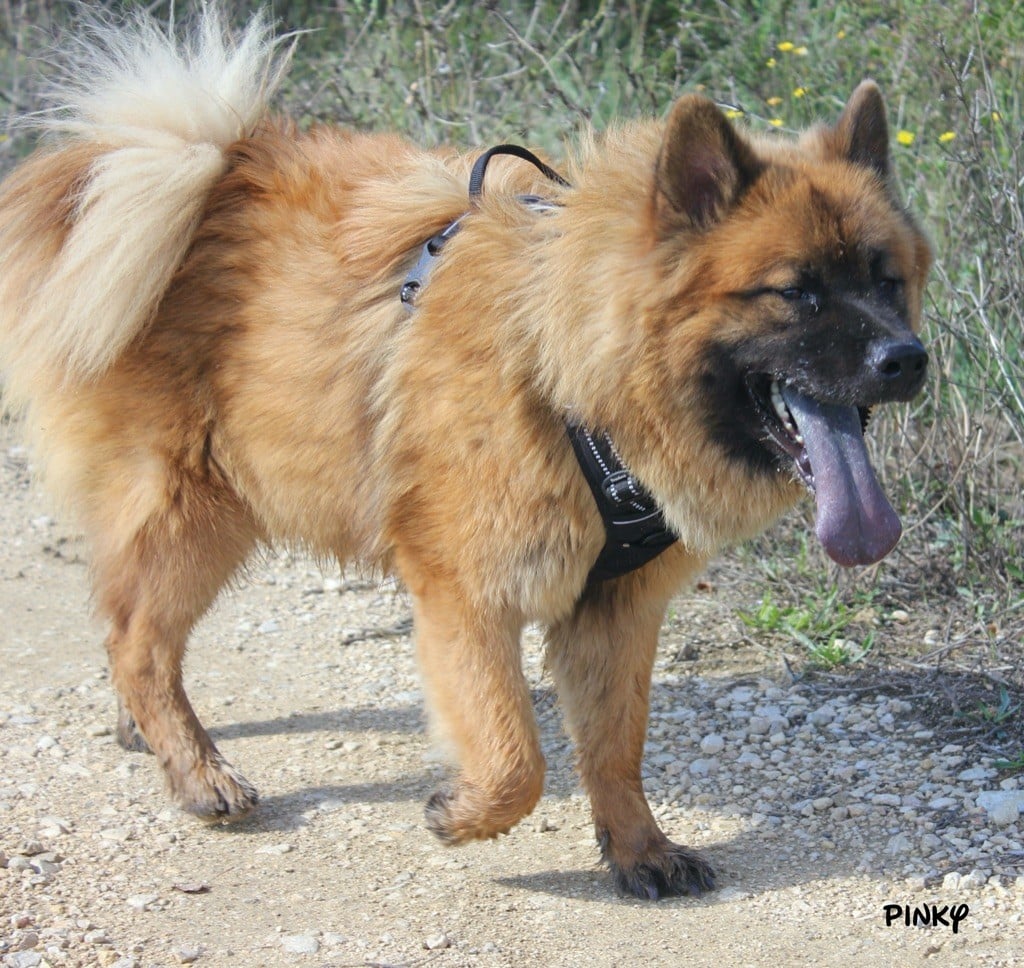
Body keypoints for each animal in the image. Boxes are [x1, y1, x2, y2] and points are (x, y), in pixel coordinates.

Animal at [0, 7, 929, 897]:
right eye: (796, 293)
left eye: (886, 280)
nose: (908, 359)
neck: (564, 370)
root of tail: (184, 164)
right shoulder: (466, 598)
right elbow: (517, 758)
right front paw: (462, 814)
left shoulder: (615, 612)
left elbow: (614, 750)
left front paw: (640, 851)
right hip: (195, 514)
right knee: (137, 640)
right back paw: (198, 773)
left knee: (128, 625)